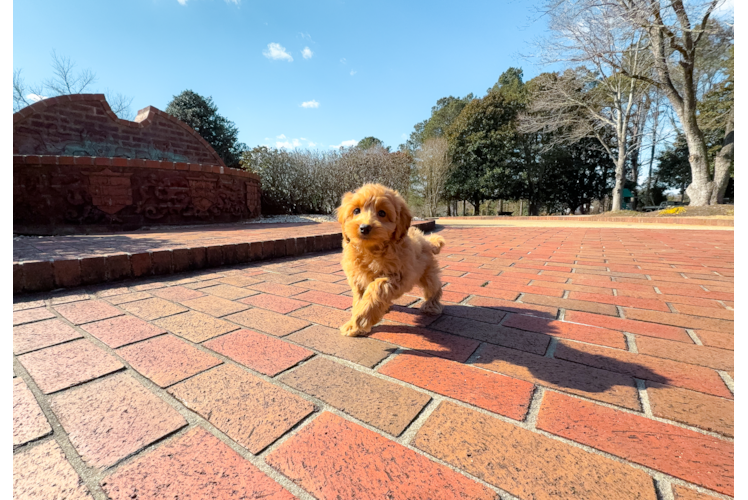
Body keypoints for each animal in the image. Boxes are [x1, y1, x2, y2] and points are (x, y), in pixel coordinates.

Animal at [338, 183, 444, 336]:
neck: (370, 250)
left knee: (434, 287)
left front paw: (356, 323)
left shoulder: (397, 276)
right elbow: (359, 299)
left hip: (427, 273)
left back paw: (431, 306)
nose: (364, 228)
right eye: (356, 210)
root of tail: (426, 240)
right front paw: (356, 321)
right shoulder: (358, 279)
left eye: (382, 213)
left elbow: (376, 287)